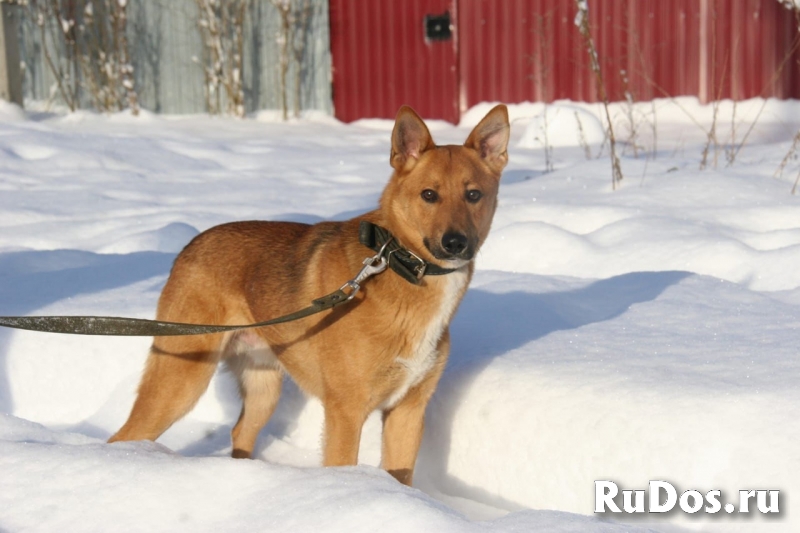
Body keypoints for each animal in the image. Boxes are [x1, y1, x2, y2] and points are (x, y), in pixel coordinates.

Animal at [109, 105, 510, 486]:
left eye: (473, 195)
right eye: (429, 195)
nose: (456, 243)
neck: (399, 264)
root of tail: (190, 245)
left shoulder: (407, 412)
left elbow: (402, 477)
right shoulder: (346, 412)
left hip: (263, 387)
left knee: (240, 431)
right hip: (181, 379)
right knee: (124, 436)